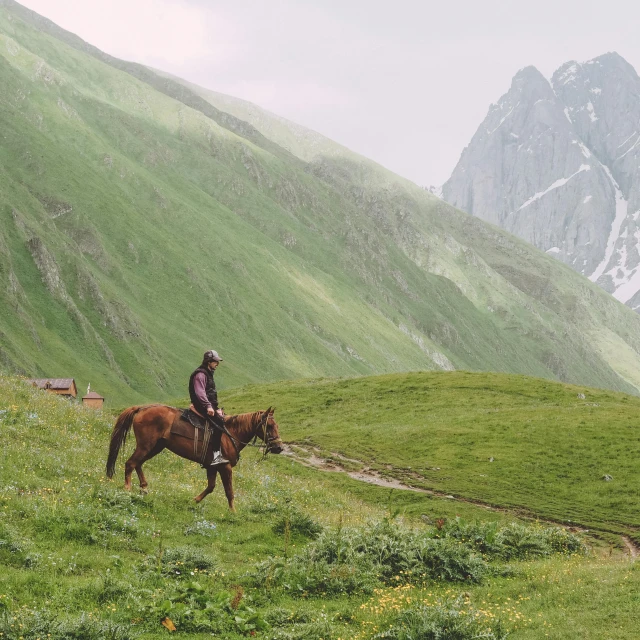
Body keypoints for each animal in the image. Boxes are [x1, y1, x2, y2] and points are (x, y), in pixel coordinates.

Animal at [106, 404, 282, 510]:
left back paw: (144, 487)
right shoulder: (224, 466)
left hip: (155, 447)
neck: (230, 433)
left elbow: (211, 487)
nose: (279, 447)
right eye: (269, 426)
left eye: (277, 426)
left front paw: (194, 500)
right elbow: (229, 491)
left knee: (138, 463)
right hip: (146, 446)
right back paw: (128, 489)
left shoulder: (212, 466)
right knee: (130, 463)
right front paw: (233, 512)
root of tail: (142, 408)